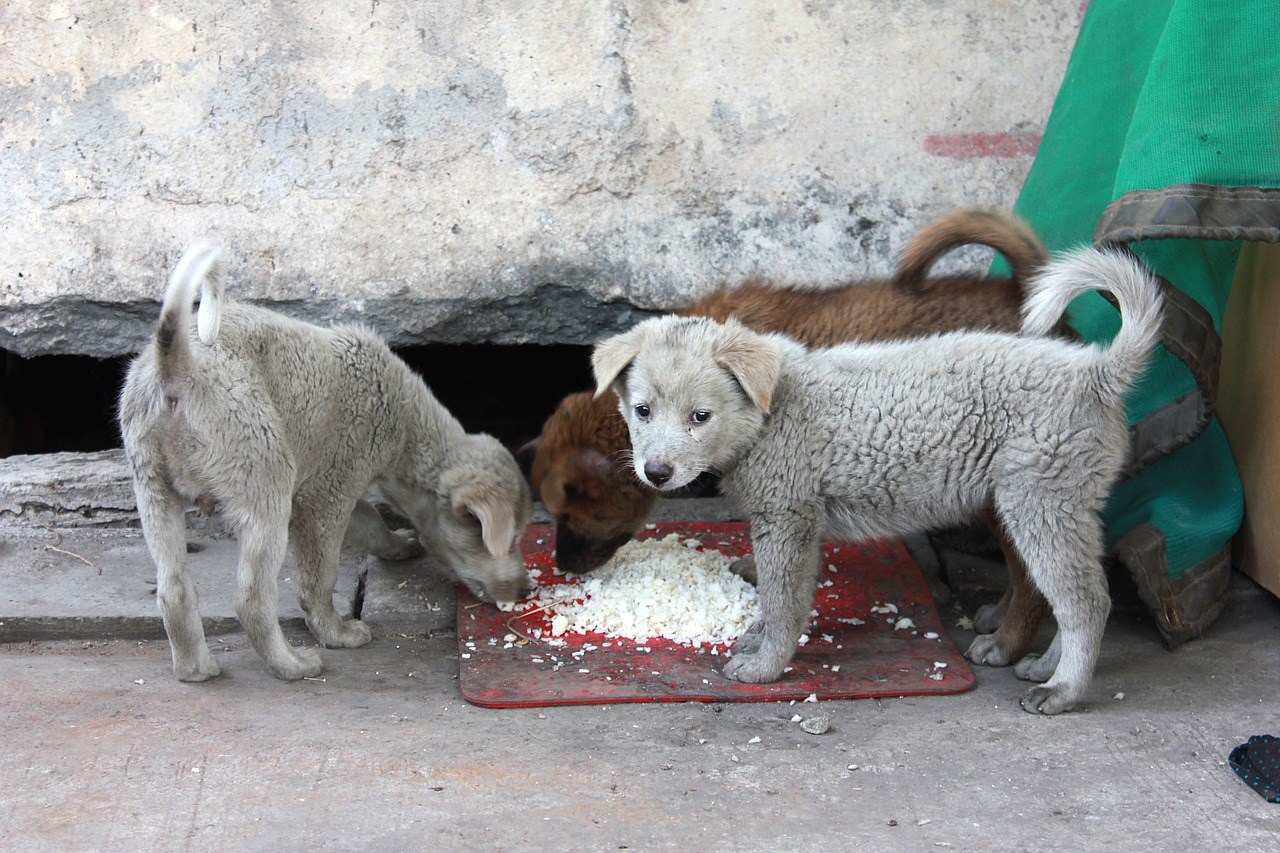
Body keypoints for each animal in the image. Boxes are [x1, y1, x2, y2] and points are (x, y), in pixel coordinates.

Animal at [122, 242, 532, 681]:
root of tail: (177, 369)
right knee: (252, 598)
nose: (526, 590)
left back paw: (195, 669)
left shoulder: (332, 485)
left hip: (153, 489)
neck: (404, 423)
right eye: (508, 539)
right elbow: (320, 578)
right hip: (264, 478)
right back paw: (293, 665)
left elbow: (372, 525)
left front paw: (400, 545)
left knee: (173, 590)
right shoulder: (326, 495)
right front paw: (337, 633)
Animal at [593, 245, 1167, 712]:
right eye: (642, 411)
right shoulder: (800, 522)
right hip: (1064, 505)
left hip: (1041, 503)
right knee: (1079, 593)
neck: (773, 411)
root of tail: (1096, 374)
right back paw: (1045, 665)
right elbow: (783, 599)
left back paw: (1061, 689)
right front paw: (756, 638)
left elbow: (781, 601)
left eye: (700, 417)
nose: (656, 473)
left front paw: (764, 667)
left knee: (1084, 602)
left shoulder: (787, 518)